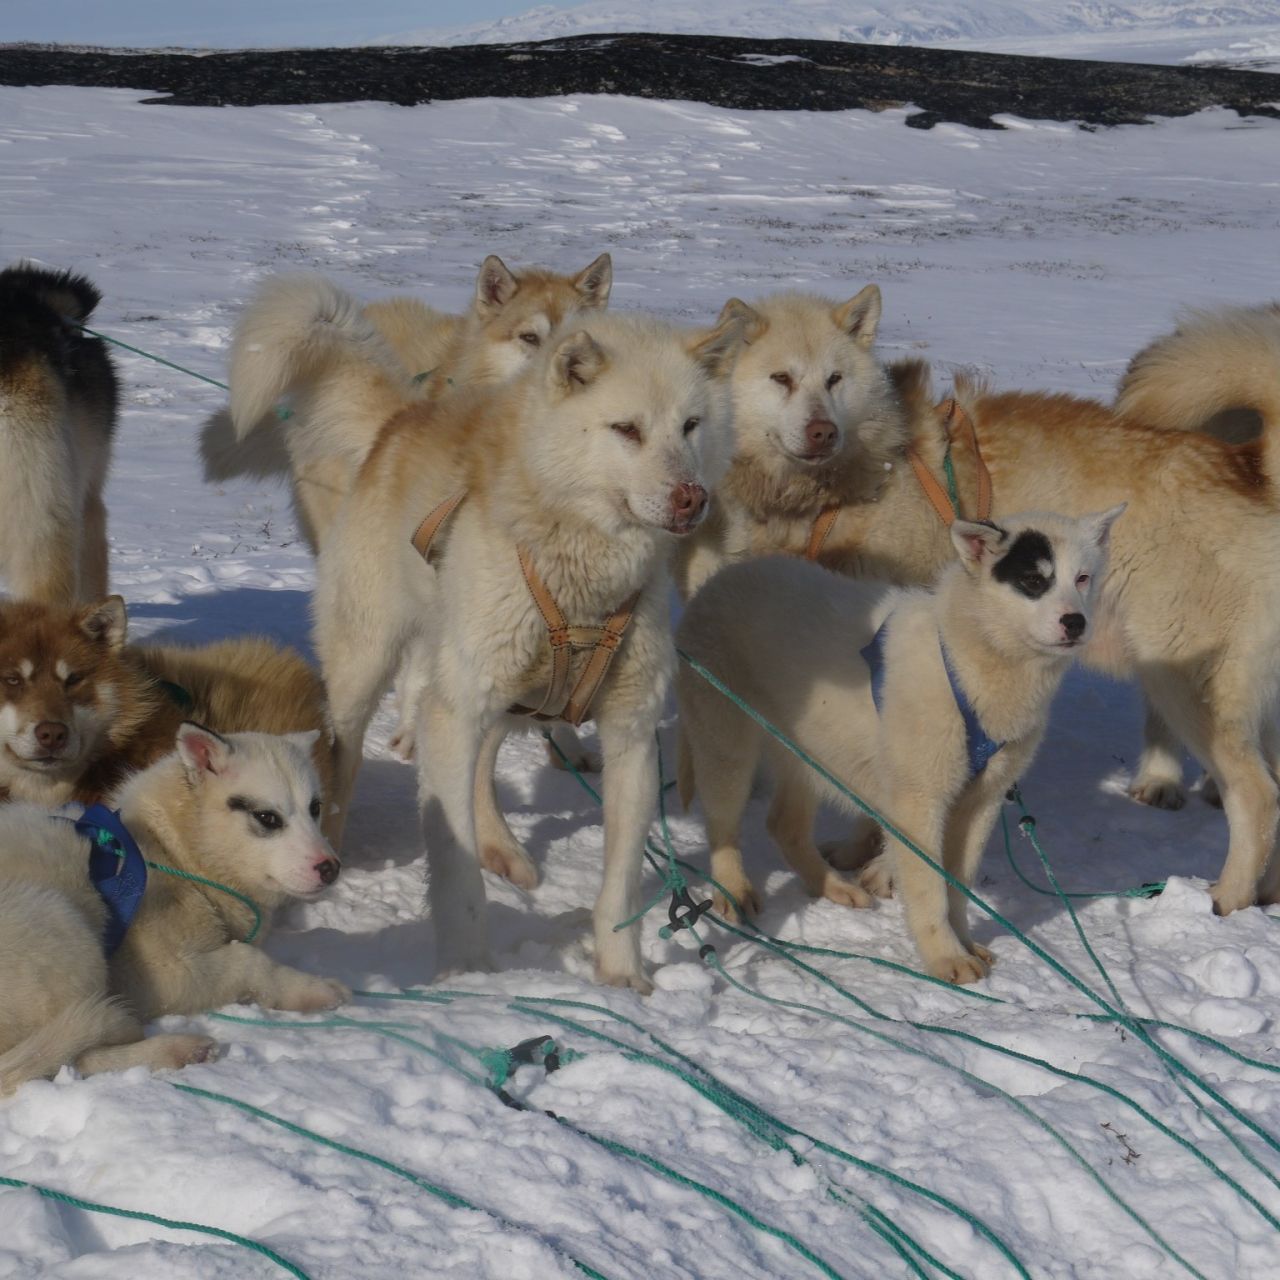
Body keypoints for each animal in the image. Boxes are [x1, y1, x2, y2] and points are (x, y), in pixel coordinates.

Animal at [0, 727, 348, 1095]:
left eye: (315, 808)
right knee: (67, 1058)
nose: (330, 868)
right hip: (63, 924)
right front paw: (310, 990)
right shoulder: (157, 977)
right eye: (267, 817)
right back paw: (173, 1048)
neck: (169, 852)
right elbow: (250, 961)